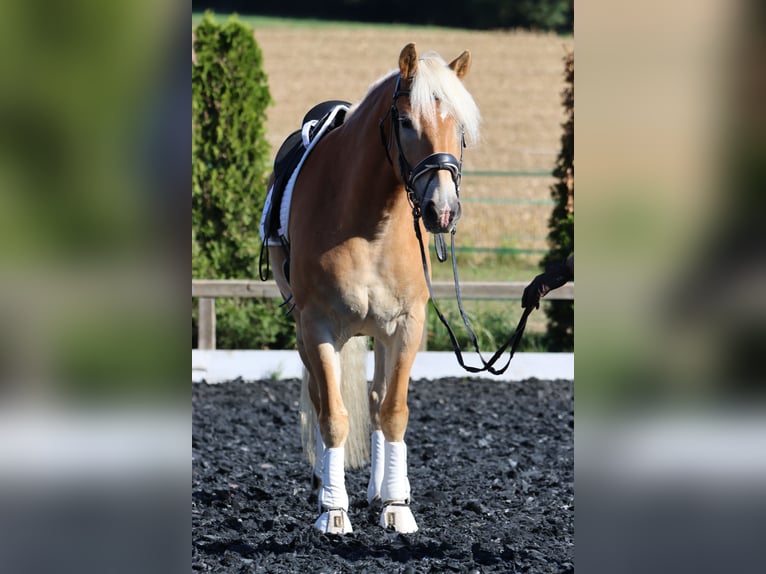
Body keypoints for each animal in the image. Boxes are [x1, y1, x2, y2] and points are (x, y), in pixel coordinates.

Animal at [261, 43, 480, 534]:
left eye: (459, 126)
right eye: (406, 121)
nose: (443, 211)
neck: (368, 224)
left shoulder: (407, 326)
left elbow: (393, 412)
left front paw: (397, 507)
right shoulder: (318, 326)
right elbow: (333, 415)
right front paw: (333, 511)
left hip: (380, 333)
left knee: (378, 402)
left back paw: (380, 490)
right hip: (306, 329)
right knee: (323, 399)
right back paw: (326, 486)